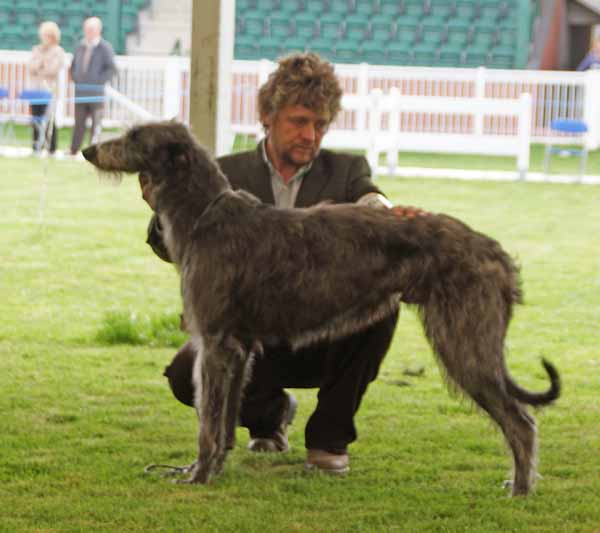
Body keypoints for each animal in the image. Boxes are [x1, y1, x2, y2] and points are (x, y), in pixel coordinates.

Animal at [82, 121, 560, 494]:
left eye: (134, 136)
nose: (87, 149)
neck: (205, 215)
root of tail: (494, 252)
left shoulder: (215, 343)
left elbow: (207, 423)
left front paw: (196, 475)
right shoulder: (238, 347)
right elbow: (223, 422)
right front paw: (214, 468)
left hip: (464, 341)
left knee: (521, 421)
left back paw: (520, 489)